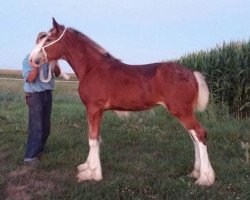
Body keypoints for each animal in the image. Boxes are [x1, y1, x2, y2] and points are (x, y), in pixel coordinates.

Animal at [29, 18, 215, 187]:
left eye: (49, 40)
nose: (32, 59)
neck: (92, 68)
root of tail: (192, 73)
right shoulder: (93, 110)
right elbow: (94, 137)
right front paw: (86, 167)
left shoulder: (94, 109)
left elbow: (93, 139)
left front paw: (92, 174)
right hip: (184, 112)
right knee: (194, 137)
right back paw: (196, 172)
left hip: (182, 111)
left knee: (200, 134)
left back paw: (205, 178)